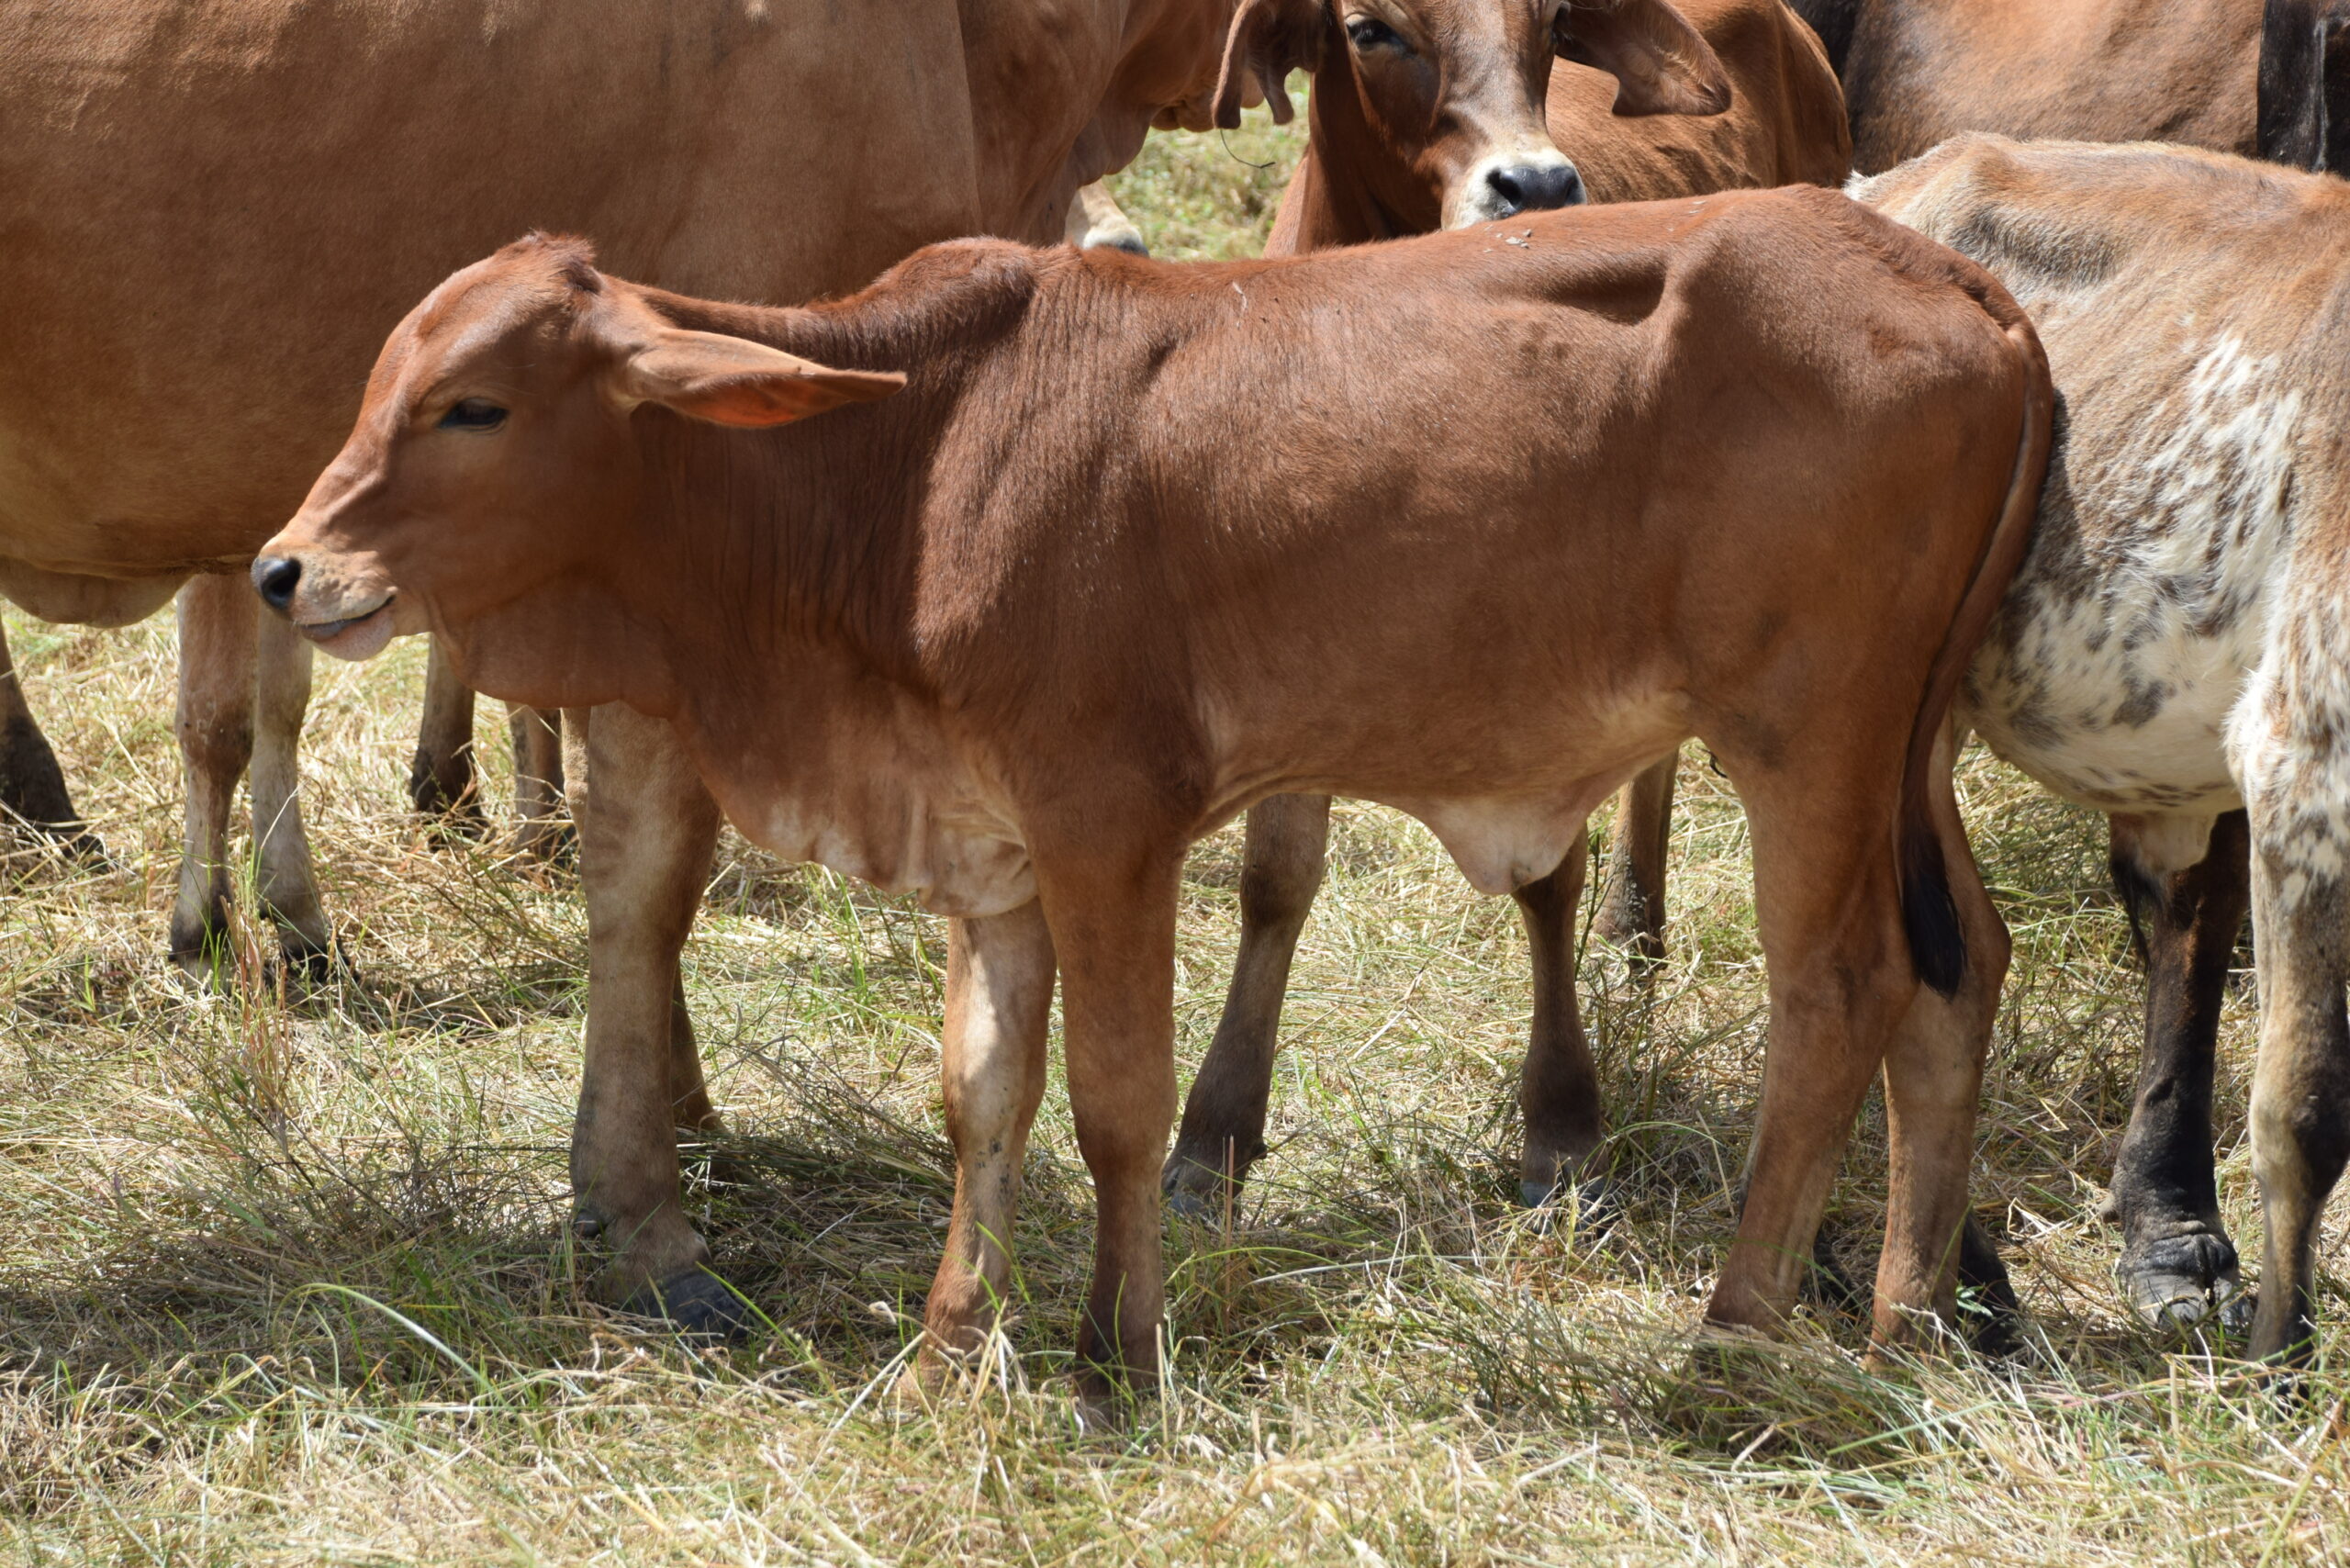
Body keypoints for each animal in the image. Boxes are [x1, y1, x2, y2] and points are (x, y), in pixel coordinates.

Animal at [257, 185, 2049, 1401]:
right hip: (1909, 748)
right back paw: (1902, 1317)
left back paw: (1734, 1333)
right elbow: (983, 1091)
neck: (907, 464)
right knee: (1958, 975)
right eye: (381, 379)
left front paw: (1114, 1354)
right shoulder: (991, 846)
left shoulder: (1106, 825)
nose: (286, 569)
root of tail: (1955, 276)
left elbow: (1115, 1101)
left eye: (473, 405)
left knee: (1842, 991)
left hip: (1807, 742)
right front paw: (950, 1343)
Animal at [1165, 0, 1842, 1222]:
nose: (1535, 184)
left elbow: (1543, 876)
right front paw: (1215, 1131)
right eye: (1369, 27)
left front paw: (1561, 1128)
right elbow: (1275, 873)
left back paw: (1632, 922)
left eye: (1553, 19)